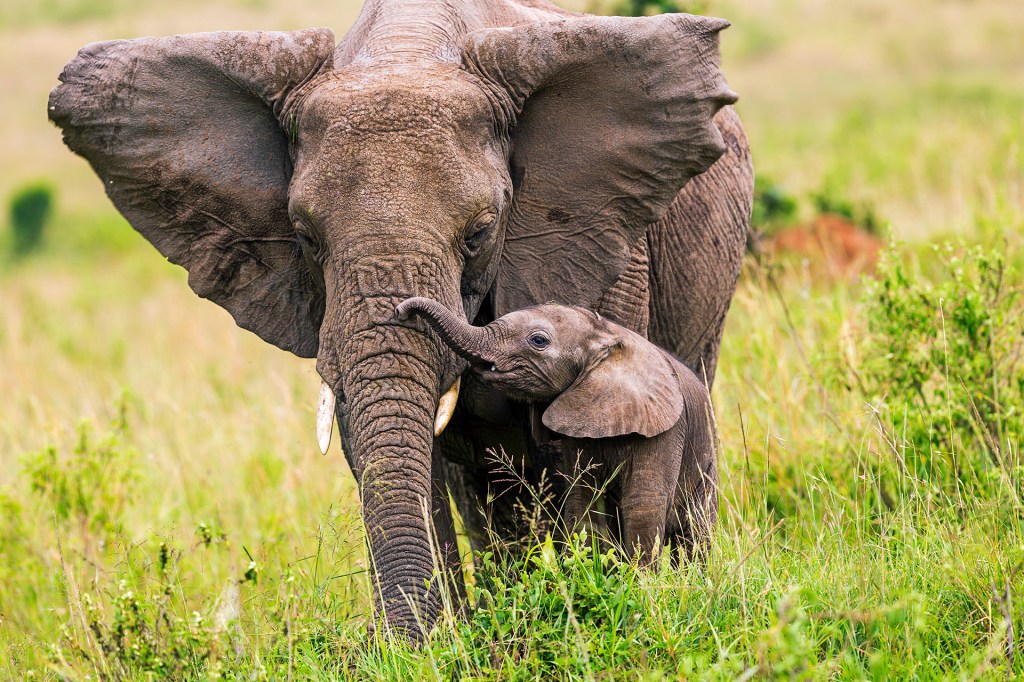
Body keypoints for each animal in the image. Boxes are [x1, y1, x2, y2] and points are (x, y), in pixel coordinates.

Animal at [397, 297, 718, 564]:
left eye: (538, 340)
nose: (401, 311)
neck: (605, 336)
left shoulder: (664, 431)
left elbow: (643, 507)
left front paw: (641, 586)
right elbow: (581, 499)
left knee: (695, 535)